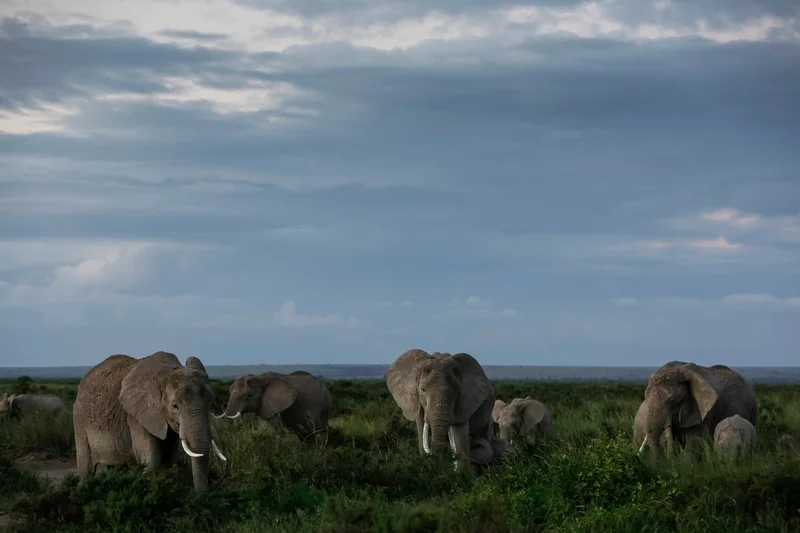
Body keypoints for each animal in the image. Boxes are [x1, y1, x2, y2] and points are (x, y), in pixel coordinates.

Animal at [72, 351, 227, 492]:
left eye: (211, 404)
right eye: (175, 406)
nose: (201, 495)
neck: (167, 372)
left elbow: (170, 459)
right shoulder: (136, 416)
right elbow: (152, 460)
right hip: (79, 419)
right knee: (86, 468)